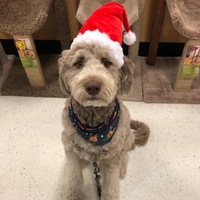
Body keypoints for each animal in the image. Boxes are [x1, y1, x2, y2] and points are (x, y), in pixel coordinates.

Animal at [57, 39, 150, 199]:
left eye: (106, 62)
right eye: (79, 63)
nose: (93, 86)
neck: (93, 129)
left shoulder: (112, 159)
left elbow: (111, 187)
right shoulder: (69, 148)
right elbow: (74, 178)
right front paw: (74, 194)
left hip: (126, 138)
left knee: (123, 156)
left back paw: (121, 168)